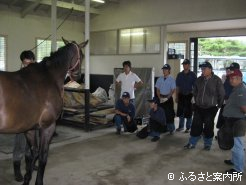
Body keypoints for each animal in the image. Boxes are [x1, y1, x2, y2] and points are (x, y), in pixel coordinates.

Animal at [0, 38, 88, 185]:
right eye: (82, 55)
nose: (78, 76)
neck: (49, 76)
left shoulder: (29, 129)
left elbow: (32, 154)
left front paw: (27, 178)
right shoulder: (48, 127)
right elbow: (42, 156)